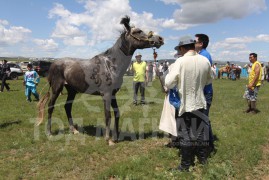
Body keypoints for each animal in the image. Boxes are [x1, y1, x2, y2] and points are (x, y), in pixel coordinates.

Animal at [36, 15, 163, 145]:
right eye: (138, 31)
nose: (160, 39)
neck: (111, 64)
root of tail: (53, 64)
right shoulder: (106, 94)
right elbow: (108, 115)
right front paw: (108, 140)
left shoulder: (113, 94)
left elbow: (117, 113)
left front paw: (116, 137)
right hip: (56, 89)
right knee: (51, 107)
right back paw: (49, 132)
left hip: (72, 90)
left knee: (67, 107)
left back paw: (74, 130)